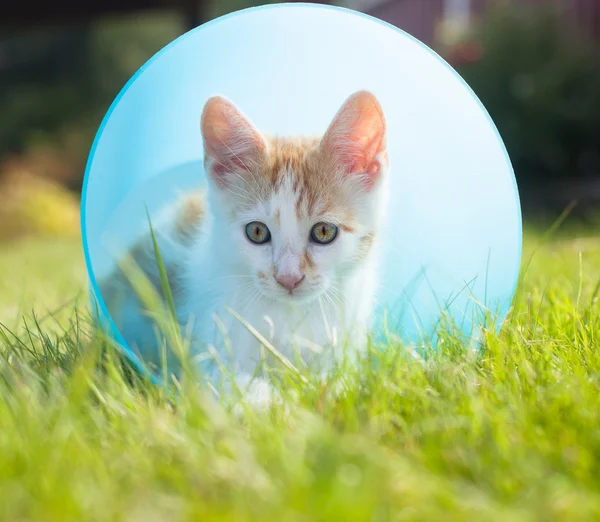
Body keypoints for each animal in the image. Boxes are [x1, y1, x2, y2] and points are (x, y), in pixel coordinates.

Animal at [101, 89, 392, 390]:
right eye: (257, 232)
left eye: (323, 232)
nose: (289, 278)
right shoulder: (211, 354)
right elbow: (237, 387)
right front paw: (280, 398)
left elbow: (341, 380)